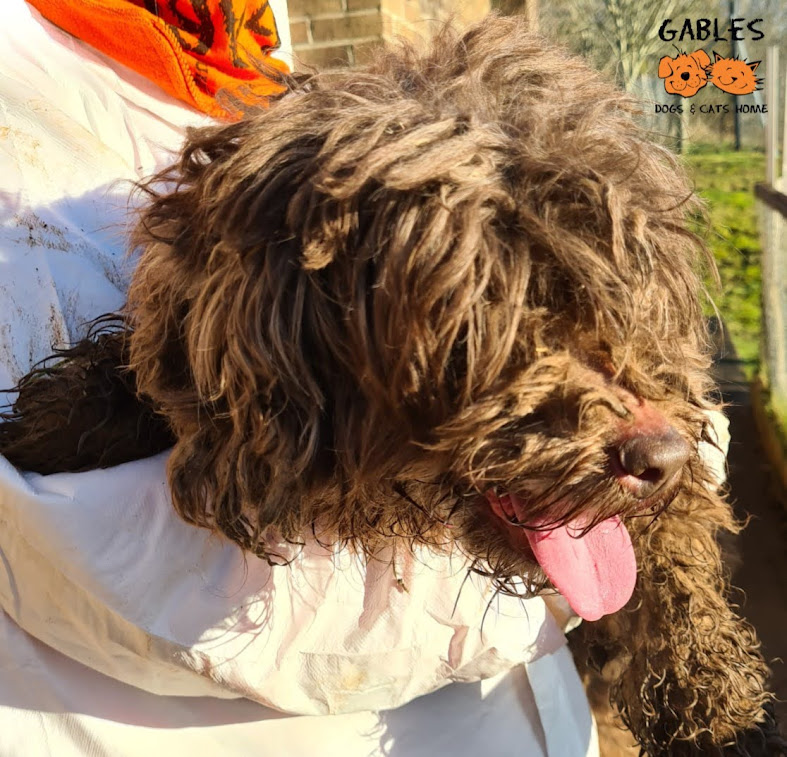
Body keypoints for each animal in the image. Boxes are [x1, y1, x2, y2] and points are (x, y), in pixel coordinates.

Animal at [1, 17, 784, 756]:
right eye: (486, 316)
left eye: (630, 298)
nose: (660, 457)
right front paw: (65, 414)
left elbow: (674, 550)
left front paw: (711, 702)